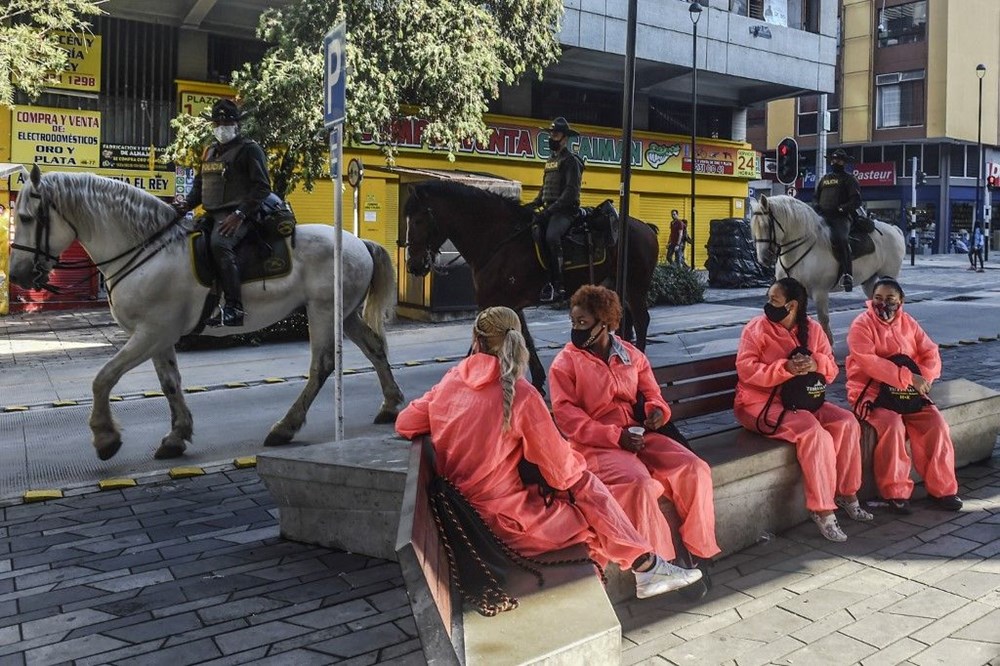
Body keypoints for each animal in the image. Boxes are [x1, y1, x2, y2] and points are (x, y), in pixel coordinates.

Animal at [8, 167, 402, 462]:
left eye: (26, 217)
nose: (17, 275)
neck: (146, 251)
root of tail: (358, 241)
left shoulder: (149, 333)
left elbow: (103, 378)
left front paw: (106, 438)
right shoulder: (159, 336)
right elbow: (169, 383)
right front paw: (176, 436)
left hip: (323, 311)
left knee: (322, 365)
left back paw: (284, 427)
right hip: (345, 313)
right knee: (374, 347)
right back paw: (391, 404)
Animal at [402, 179, 660, 390]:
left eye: (418, 220)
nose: (414, 265)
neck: (499, 239)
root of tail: (646, 226)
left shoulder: (495, 302)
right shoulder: (511, 304)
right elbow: (526, 338)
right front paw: (538, 379)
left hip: (635, 287)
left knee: (641, 321)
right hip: (616, 287)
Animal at [752, 195, 908, 342]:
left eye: (766, 225)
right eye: (753, 228)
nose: (763, 258)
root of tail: (894, 229)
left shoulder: (820, 293)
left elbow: (824, 321)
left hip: (888, 276)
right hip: (870, 281)